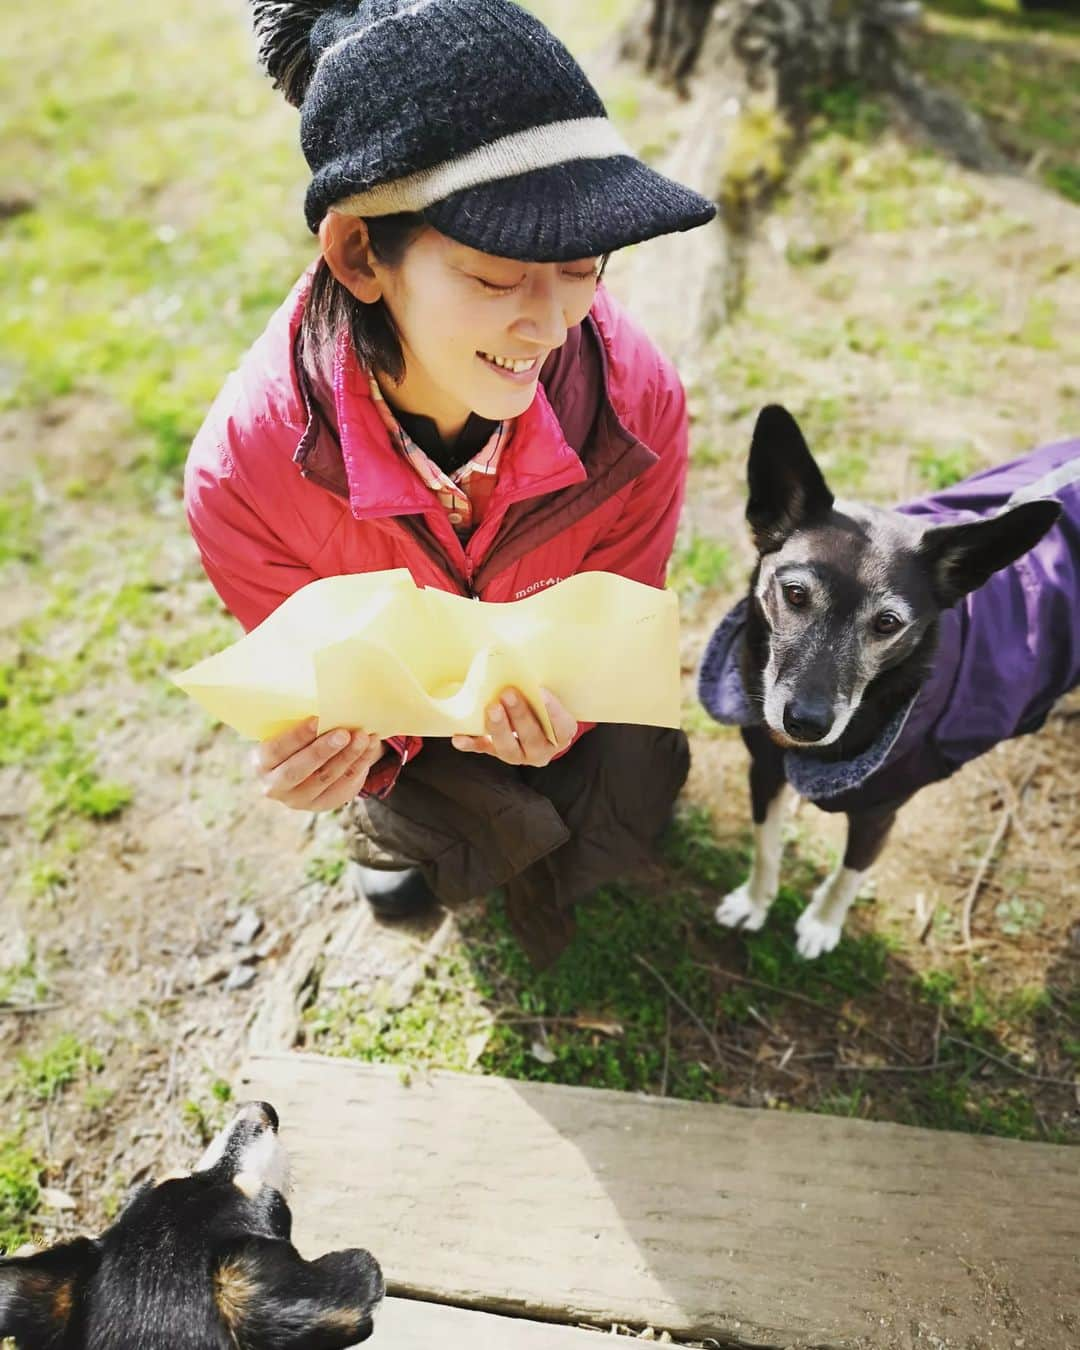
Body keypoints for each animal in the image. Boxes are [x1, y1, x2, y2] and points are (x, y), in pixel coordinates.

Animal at [696, 405, 1074, 955]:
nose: (805, 723)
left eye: (887, 623)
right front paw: (755, 902)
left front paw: (822, 924)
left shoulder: (880, 809)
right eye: (794, 593)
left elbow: (850, 872)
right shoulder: (764, 767)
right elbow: (766, 844)